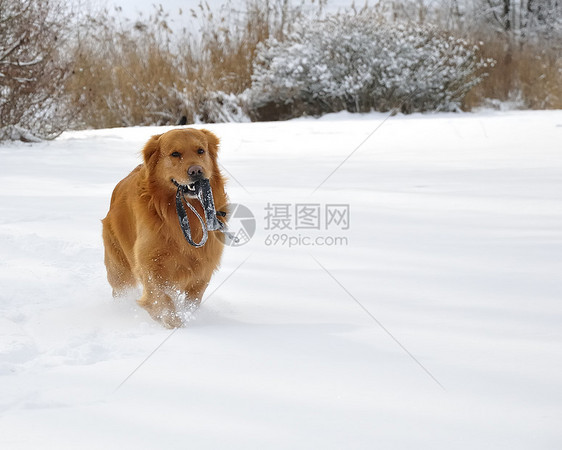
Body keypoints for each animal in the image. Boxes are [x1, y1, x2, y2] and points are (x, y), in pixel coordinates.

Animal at [101, 126, 226, 326]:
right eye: (175, 154)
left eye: (201, 151)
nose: (196, 171)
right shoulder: (151, 261)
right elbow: (160, 295)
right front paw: (171, 321)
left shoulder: (204, 263)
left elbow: (193, 298)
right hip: (119, 268)